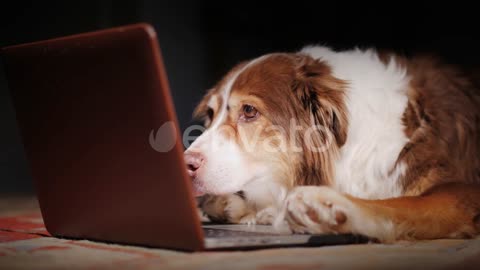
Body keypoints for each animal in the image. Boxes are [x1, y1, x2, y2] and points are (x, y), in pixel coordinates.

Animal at [183, 45, 480, 242]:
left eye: (249, 111)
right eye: (211, 114)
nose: (186, 164)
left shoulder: (461, 191)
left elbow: (401, 205)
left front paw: (329, 207)